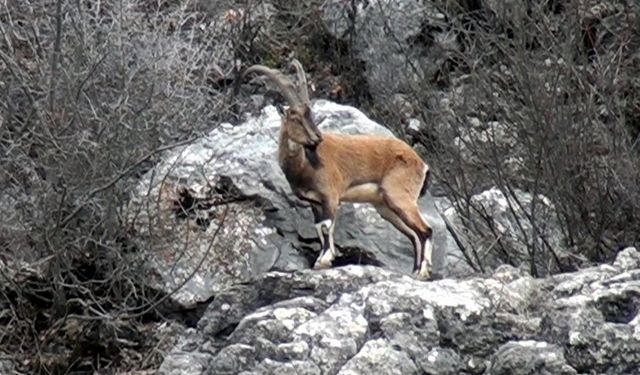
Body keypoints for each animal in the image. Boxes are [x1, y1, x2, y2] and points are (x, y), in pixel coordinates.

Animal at [245, 60, 436, 280]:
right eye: (296, 118)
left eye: (310, 115)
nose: (317, 138)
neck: (304, 166)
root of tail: (421, 163)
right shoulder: (314, 202)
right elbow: (319, 227)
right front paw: (321, 261)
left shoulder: (331, 195)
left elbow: (327, 226)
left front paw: (325, 260)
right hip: (386, 207)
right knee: (414, 234)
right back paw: (415, 271)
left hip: (399, 197)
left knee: (426, 230)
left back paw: (423, 272)